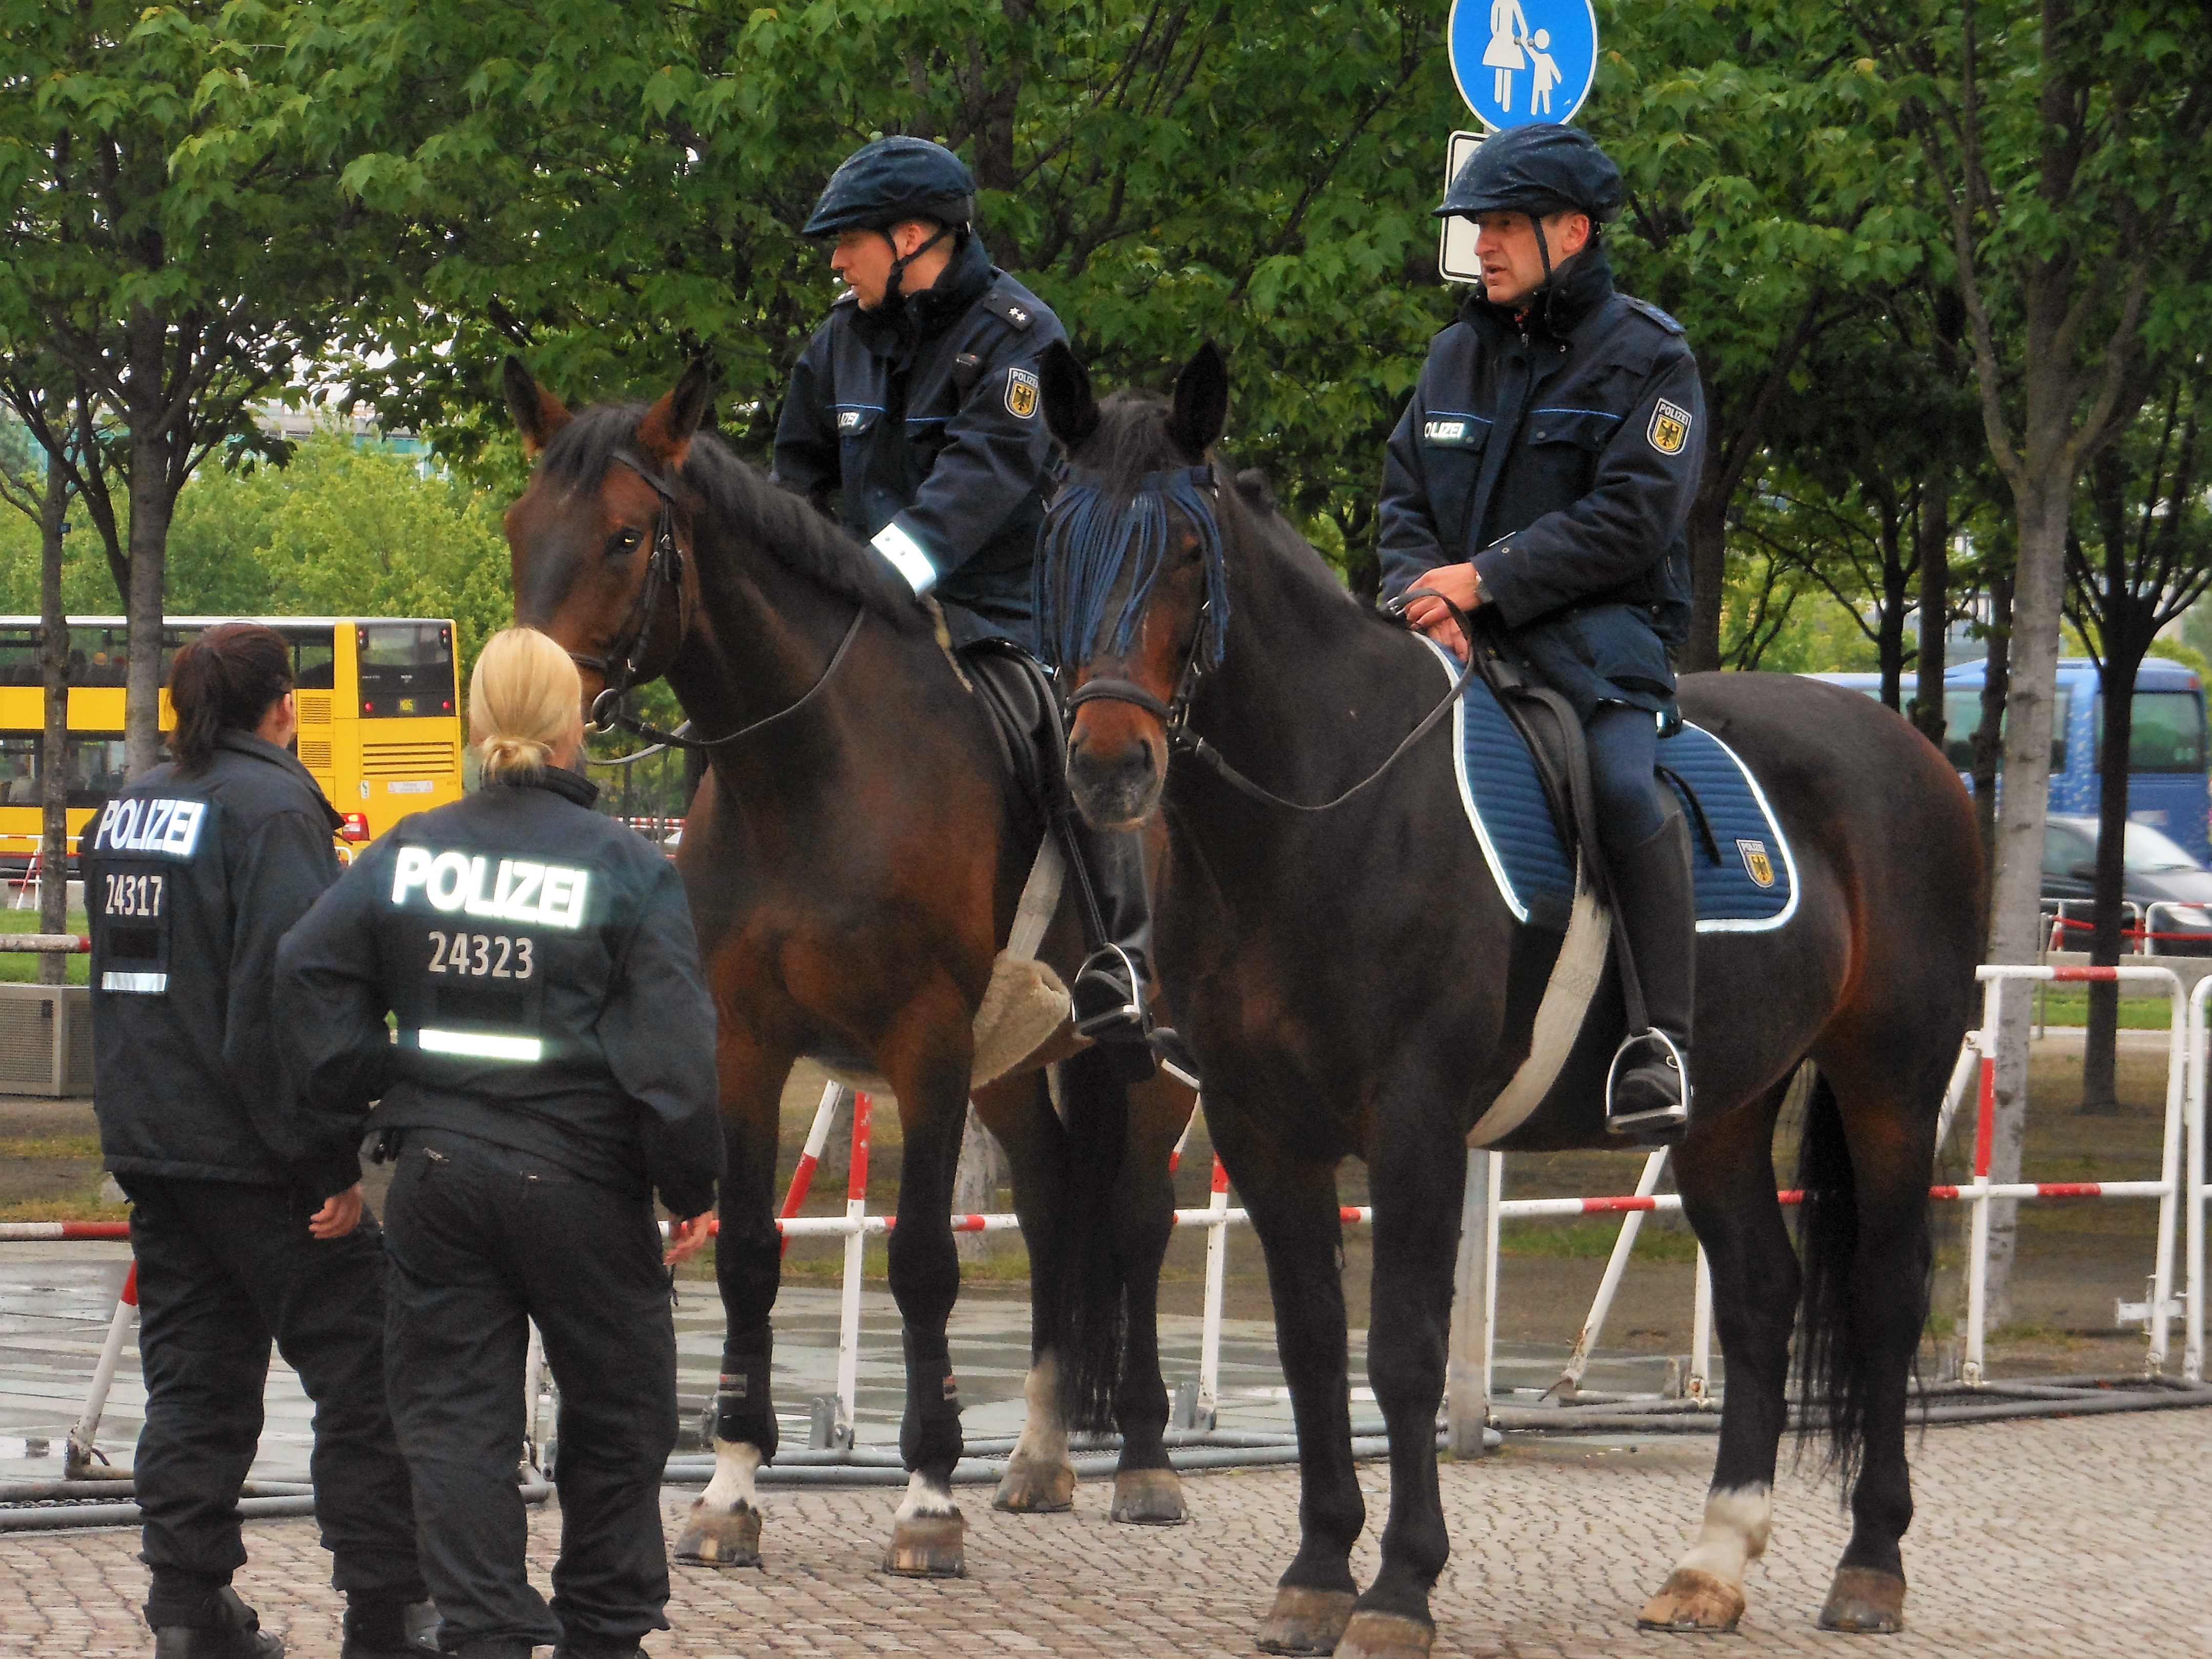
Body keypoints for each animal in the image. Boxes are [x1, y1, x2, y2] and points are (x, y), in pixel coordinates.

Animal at [500, 358, 1203, 1574]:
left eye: (627, 537)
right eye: (517, 527)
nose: (520, 711)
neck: (811, 770)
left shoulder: (924, 1043)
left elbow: (920, 1258)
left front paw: (925, 1494)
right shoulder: (744, 1041)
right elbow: (744, 1251)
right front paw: (730, 1485)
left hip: (1139, 1061)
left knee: (1134, 1216)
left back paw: (1147, 1459)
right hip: (1013, 1067)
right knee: (1055, 1206)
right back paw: (1040, 1453)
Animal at [1035, 345, 1991, 1654]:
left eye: (1186, 548)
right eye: (1055, 538)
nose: (1106, 764)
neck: (1326, 807)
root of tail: (1913, 749)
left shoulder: (1415, 1121)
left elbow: (1403, 1351)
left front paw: (1398, 1585)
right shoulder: (1259, 1124)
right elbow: (1311, 1342)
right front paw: (1317, 1570)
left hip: (1890, 1074)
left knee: (1887, 1294)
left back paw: (1869, 1563)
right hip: (1722, 1106)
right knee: (1760, 1294)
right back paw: (1711, 1562)